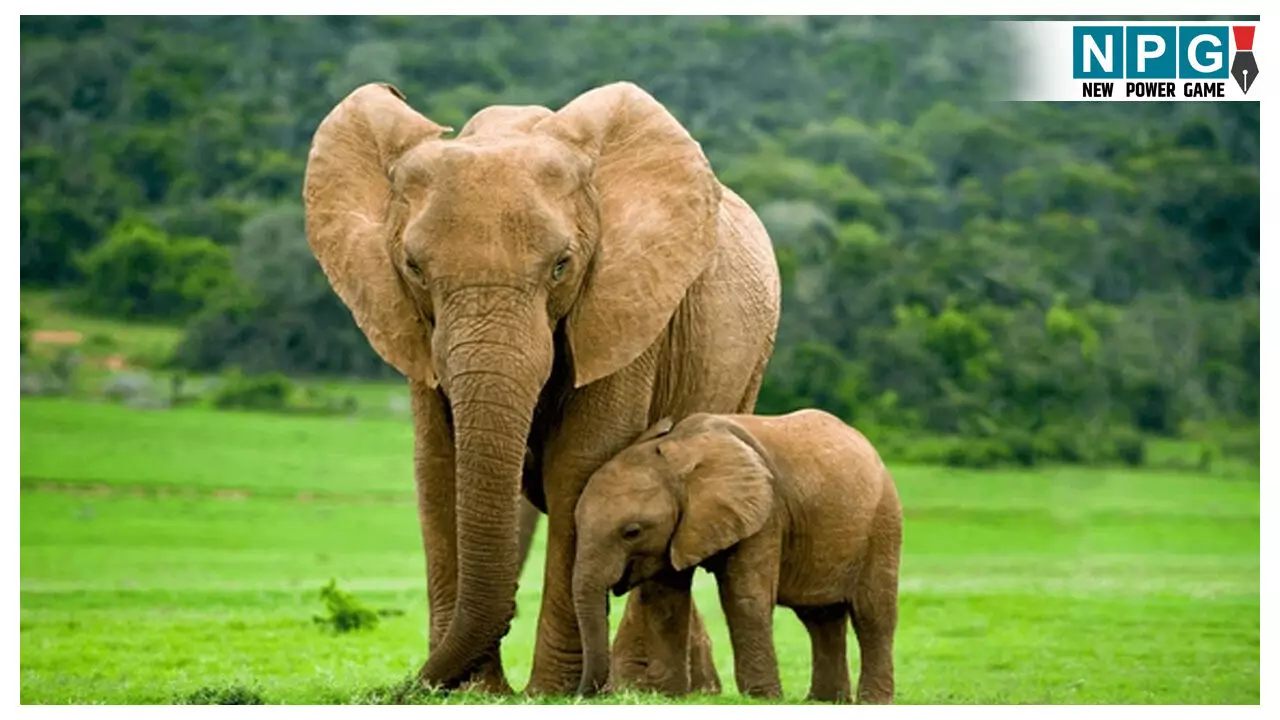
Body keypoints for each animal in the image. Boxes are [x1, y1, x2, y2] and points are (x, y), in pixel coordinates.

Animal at [302, 81, 781, 695]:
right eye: (413, 268)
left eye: (561, 266)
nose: (406, 689)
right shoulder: (414, 332)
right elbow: (438, 467)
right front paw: (475, 694)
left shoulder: (624, 304)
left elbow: (580, 466)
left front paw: (550, 693)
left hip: (750, 361)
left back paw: (650, 688)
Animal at [572, 411, 902, 704]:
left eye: (632, 532)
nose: (583, 695)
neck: (680, 451)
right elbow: (666, 600)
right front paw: (668, 696)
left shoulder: (765, 513)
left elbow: (745, 597)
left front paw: (763, 699)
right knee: (820, 617)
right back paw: (824, 702)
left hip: (883, 521)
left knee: (872, 613)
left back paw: (872, 702)